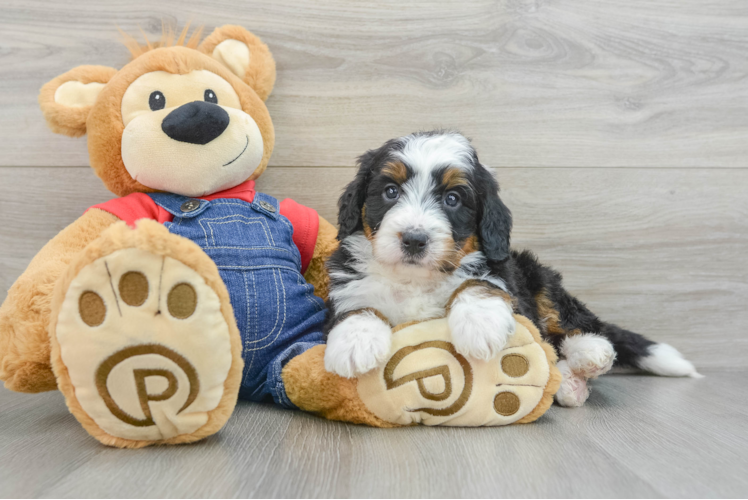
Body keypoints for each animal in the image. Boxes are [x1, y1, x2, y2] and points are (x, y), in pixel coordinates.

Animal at [322, 130, 700, 406]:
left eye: (452, 199)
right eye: (390, 191)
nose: (414, 239)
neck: (416, 279)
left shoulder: (505, 273)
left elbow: (480, 283)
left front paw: (480, 324)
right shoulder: (343, 284)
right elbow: (357, 305)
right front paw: (355, 342)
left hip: (540, 278)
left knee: (573, 324)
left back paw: (589, 353)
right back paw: (570, 384)